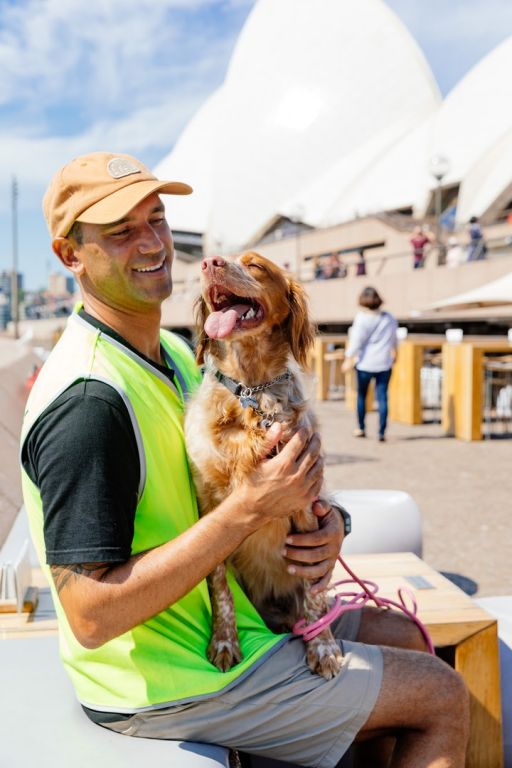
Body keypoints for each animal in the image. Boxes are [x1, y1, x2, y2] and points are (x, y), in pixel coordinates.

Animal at [185, 250, 344, 680]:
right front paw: (224, 642)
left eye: (255, 265)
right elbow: (219, 586)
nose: (208, 262)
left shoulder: (306, 503)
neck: (251, 392)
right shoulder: (208, 501)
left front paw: (323, 647)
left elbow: (314, 593)